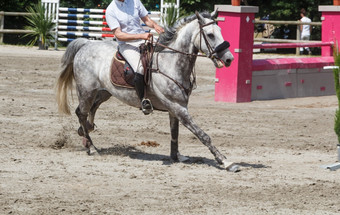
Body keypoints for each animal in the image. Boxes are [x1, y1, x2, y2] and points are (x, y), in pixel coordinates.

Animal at [56, 10, 236, 171]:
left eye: (220, 32)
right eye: (210, 35)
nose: (229, 59)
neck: (170, 62)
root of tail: (86, 44)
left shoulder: (175, 108)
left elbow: (175, 133)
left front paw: (176, 156)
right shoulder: (178, 107)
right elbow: (202, 135)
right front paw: (225, 161)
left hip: (103, 92)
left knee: (90, 110)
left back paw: (85, 133)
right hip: (87, 91)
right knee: (81, 113)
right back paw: (91, 147)